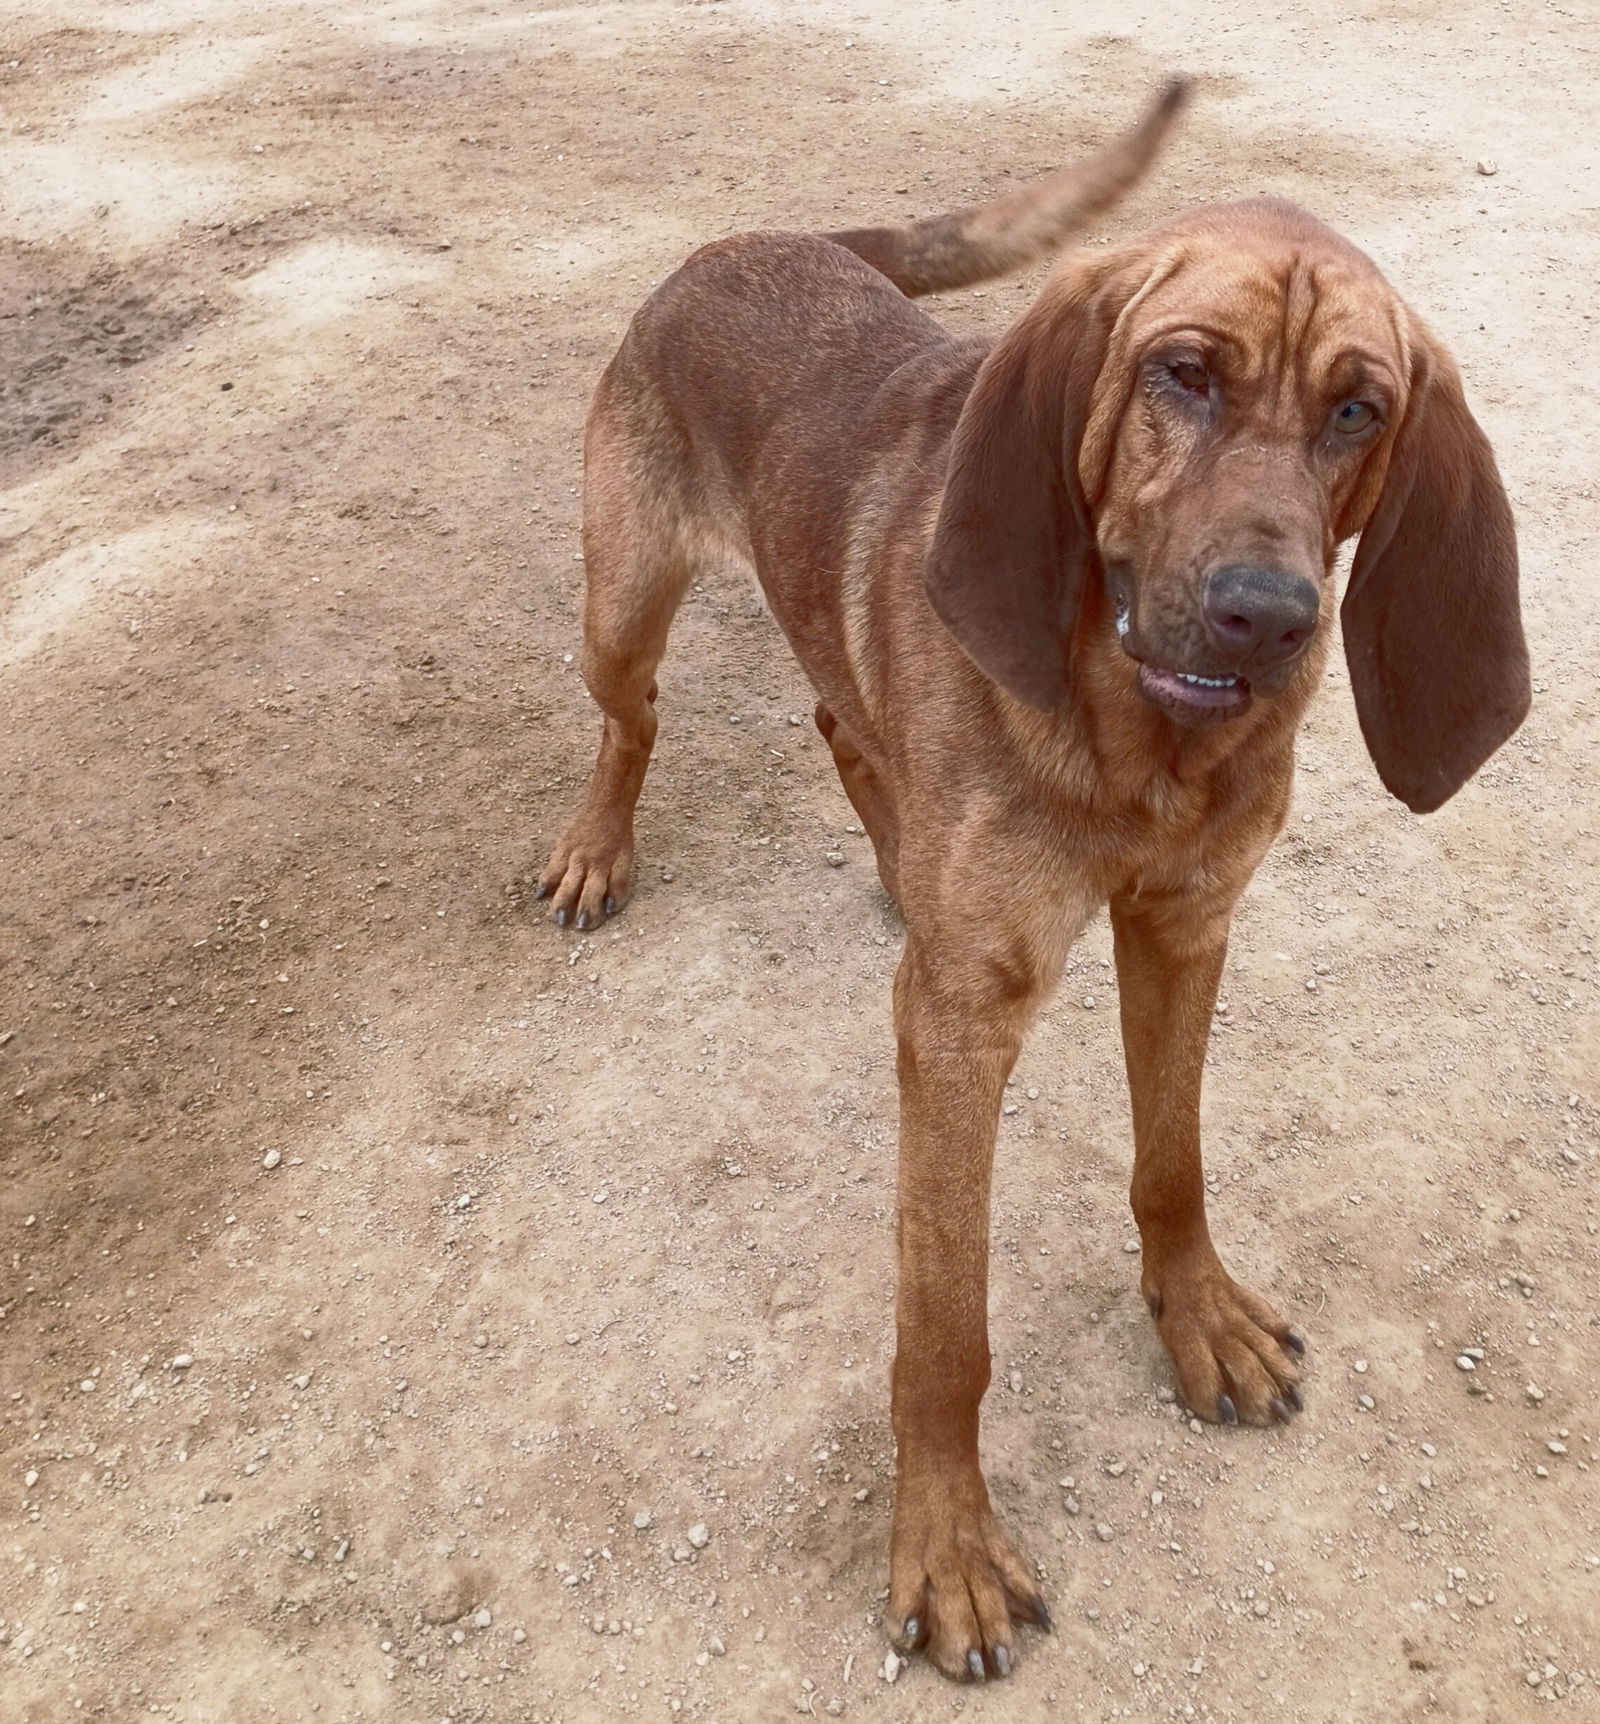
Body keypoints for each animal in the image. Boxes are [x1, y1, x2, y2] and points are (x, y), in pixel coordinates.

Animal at [537, 84, 1524, 1682]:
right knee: (635, 723)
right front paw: (948, 1546)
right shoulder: (960, 1030)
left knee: (838, 718)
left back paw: (893, 863)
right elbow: (945, 1330)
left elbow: (1174, 1161)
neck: (1142, 745)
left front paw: (1199, 1317)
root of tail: (755, 241)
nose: (1269, 620)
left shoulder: (1186, 928)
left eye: (1359, 410)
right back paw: (597, 846)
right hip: (618, 606)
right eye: (1182, 375)